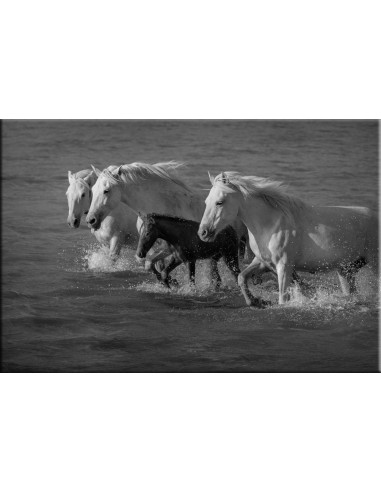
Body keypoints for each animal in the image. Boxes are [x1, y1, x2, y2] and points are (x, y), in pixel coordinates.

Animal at [199, 171, 378, 306]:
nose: (203, 233)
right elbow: (242, 277)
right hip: (346, 270)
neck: (271, 225)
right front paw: (256, 301)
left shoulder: (284, 266)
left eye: (219, 202)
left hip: (374, 264)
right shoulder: (262, 262)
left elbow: (283, 298)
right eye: (206, 202)